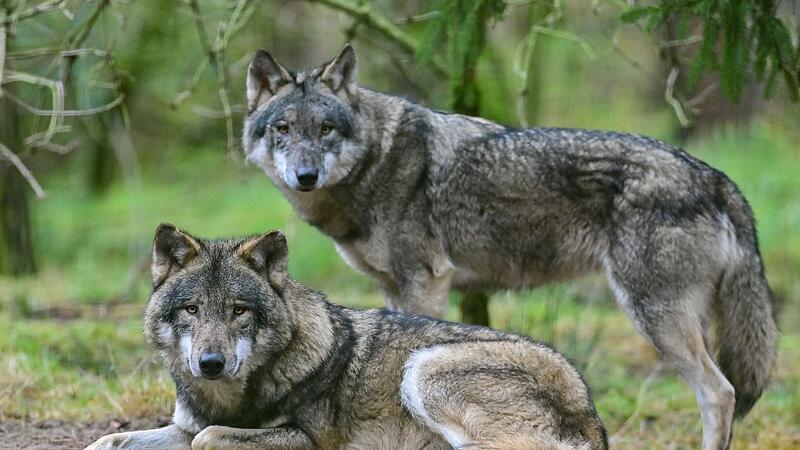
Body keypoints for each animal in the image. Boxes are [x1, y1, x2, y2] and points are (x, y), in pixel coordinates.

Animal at [85, 224, 607, 450]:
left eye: (239, 312)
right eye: (192, 309)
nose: (210, 364)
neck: (231, 397)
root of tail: (590, 409)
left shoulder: (309, 440)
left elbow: (209, 439)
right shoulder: (183, 425)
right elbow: (107, 442)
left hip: (424, 369)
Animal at [240, 44, 778, 449]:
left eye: (325, 129)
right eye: (282, 129)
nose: (306, 176)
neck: (377, 160)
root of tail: (714, 176)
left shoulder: (425, 282)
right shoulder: (396, 289)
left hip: (653, 316)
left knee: (720, 393)